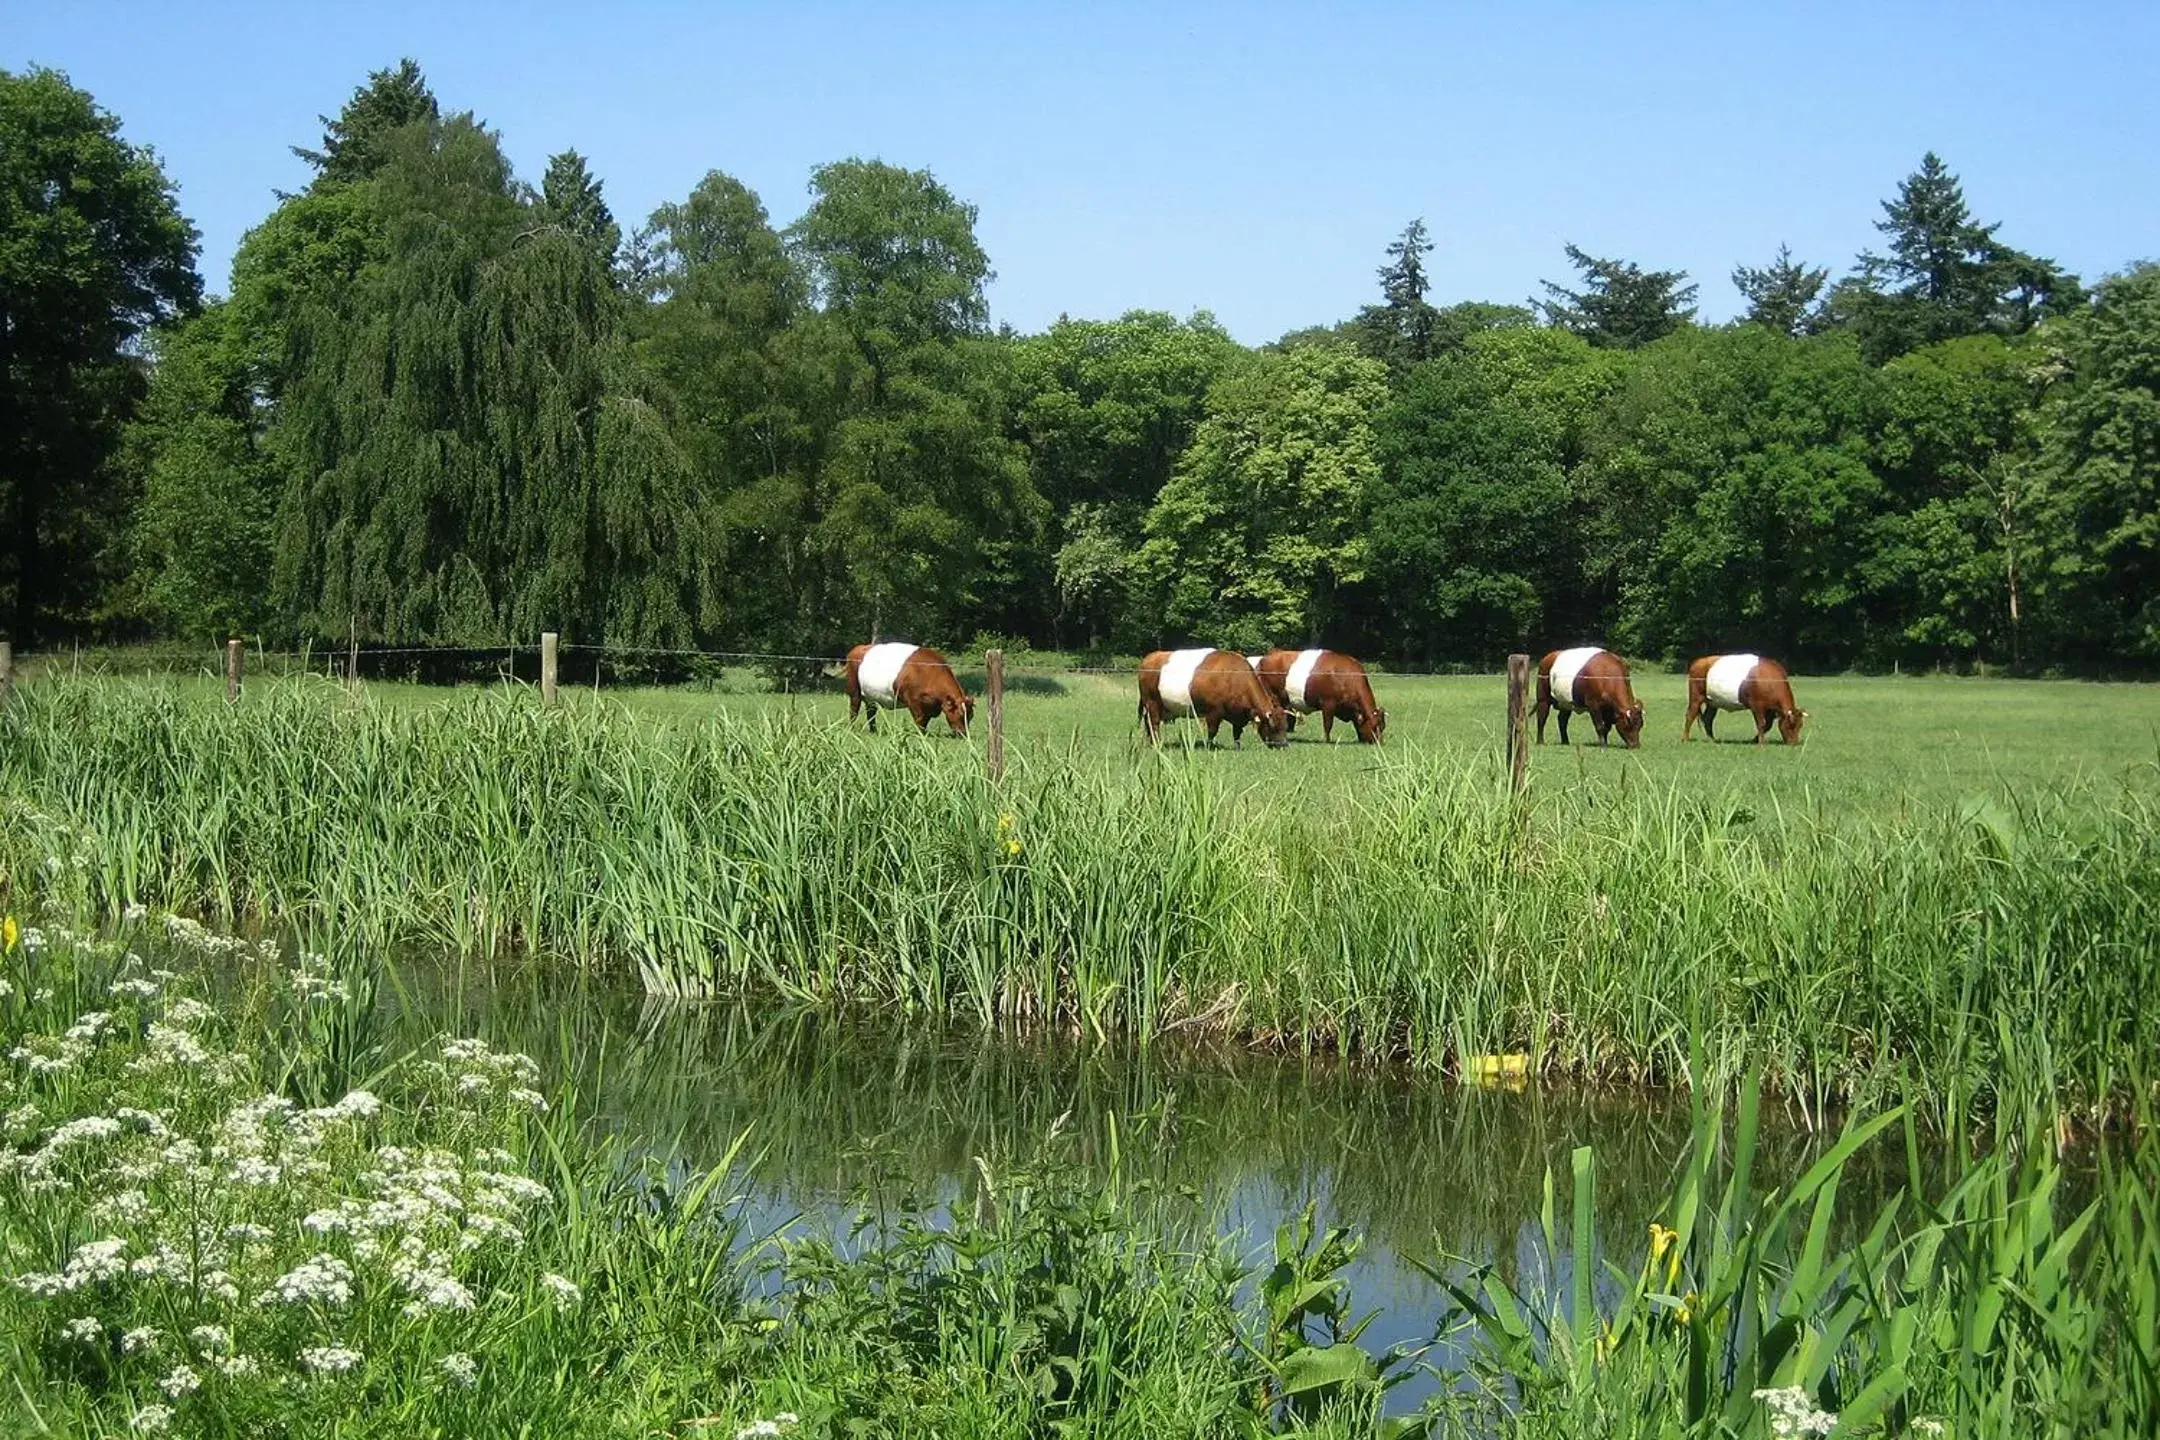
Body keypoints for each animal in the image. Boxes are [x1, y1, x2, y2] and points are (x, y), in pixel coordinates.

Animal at [846, 643, 976, 738]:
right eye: (960, 715)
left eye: (970, 716)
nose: (964, 734)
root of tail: (860, 647)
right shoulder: (914, 702)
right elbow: (920, 720)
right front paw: (921, 735)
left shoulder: (929, 706)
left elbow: (925, 721)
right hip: (854, 691)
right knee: (854, 710)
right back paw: (852, 729)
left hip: (871, 696)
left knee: (871, 712)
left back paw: (874, 731)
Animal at [1140, 647, 1287, 751]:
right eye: (1274, 727)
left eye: (1285, 727)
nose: (1284, 745)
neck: (1234, 677)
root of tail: (1151, 657)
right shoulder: (1213, 712)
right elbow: (1212, 731)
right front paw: (1209, 746)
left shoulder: (1238, 716)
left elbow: (1237, 733)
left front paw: (1238, 748)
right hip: (1152, 703)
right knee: (1154, 724)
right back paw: (1157, 744)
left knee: (1148, 724)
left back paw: (1151, 743)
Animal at [1261, 651, 1391, 742]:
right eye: (1374, 726)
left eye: (1383, 727)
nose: (1379, 742)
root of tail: (1267, 657)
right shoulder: (1328, 703)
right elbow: (1328, 724)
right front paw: (1327, 741)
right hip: (1273, 696)